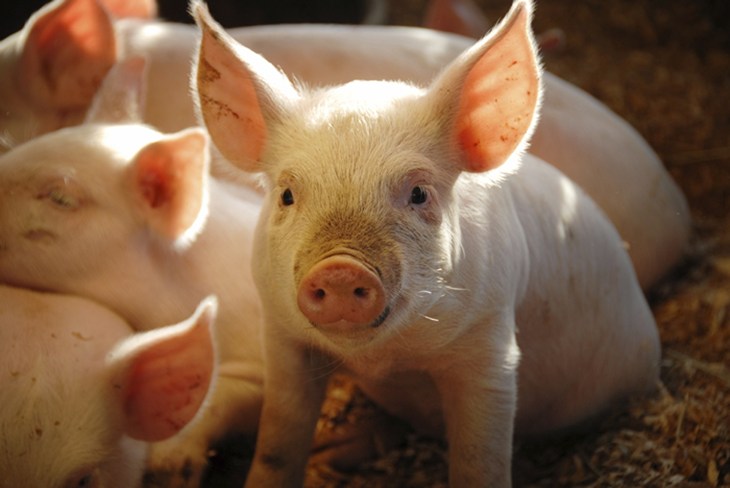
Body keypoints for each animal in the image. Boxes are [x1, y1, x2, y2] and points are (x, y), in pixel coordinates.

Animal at [192, 0, 661, 485]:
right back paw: (329, 454)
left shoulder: (491, 347)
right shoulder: (282, 337)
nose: (340, 268)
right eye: (287, 194)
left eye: (418, 193)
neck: (386, 358)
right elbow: (277, 443)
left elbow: (480, 458)